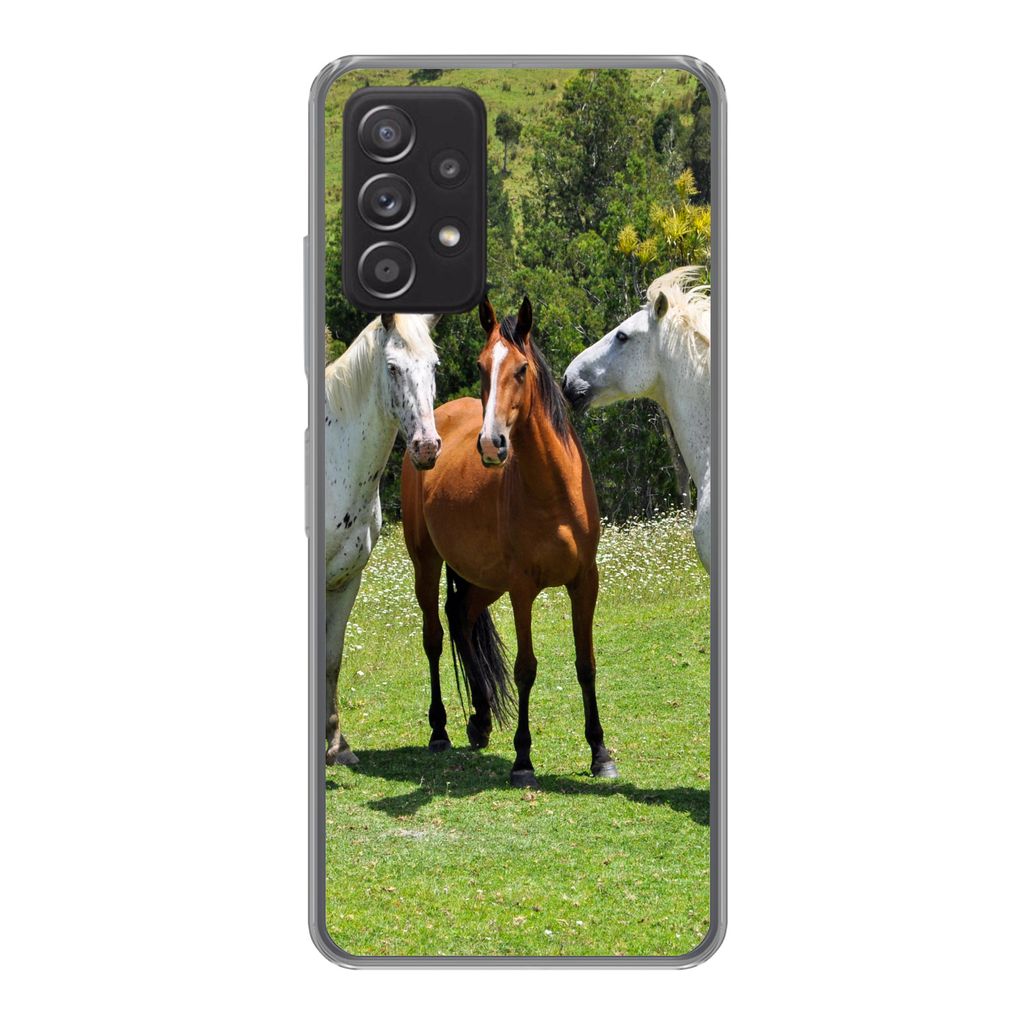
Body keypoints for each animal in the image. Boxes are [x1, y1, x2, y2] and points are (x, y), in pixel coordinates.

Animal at [325, 313, 441, 765]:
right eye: (392, 368)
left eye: (434, 366)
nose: (426, 447)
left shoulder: (346, 580)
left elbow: (331, 658)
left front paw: (336, 745)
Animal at [401, 297, 617, 788]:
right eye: (481, 366)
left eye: (520, 369)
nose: (491, 444)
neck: (553, 490)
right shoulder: (522, 589)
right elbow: (526, 669)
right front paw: (523, 760)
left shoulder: (585, 582)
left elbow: (586, 664)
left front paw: (600, 753)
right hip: (427, 563)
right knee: (434, 637)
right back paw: (440, 730)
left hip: (484, 579)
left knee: (461, 617)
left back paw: (480, 720)